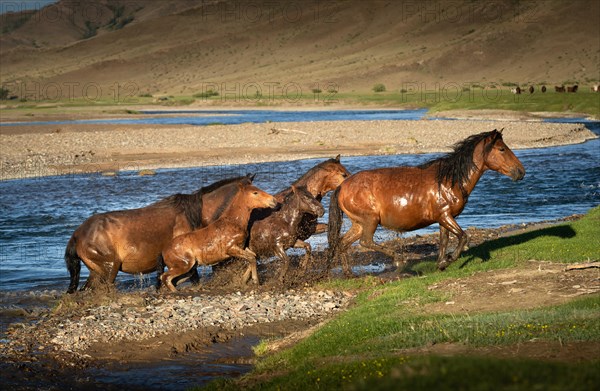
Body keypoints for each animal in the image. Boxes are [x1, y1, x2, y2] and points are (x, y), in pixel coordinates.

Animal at [62, 175, 253, 294]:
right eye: (255, 191)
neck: (193, 213)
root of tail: (77, 234)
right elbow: (192, 277)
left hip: (97, 271)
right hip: (109, 269)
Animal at [328, 129, 524, 276]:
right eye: (502, 149)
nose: (521, 171)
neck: (449, 180)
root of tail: (342, 186)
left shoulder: (444, 218)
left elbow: (444, 241)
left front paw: (441, 263)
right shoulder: (445, 216)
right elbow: (463, 237)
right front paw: (449, 259)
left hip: (359, 223)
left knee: (343, 243)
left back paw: (349, 274)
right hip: (370, 221)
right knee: (365, 242)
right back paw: (399, 260)